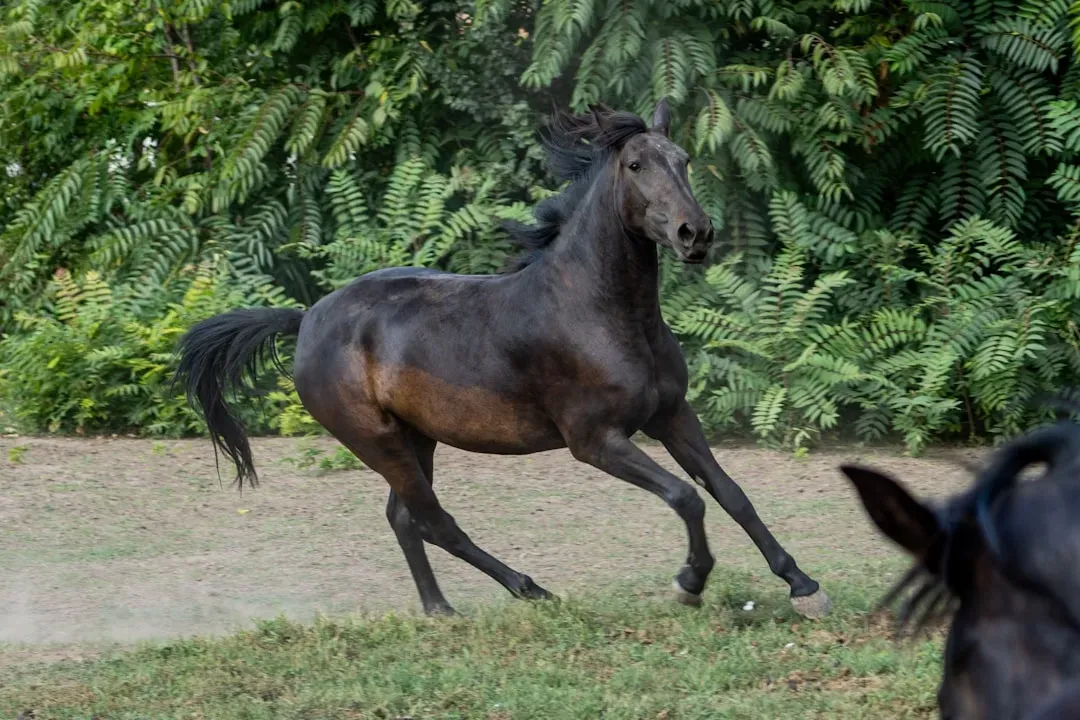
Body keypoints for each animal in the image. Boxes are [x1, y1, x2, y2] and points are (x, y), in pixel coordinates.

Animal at [173, 99, 830, 619]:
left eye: (685, 159)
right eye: (636, 165)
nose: (696, 234)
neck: (600, 312)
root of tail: (306, 318)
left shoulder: (672, 416)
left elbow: (731, 493)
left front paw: (804, 586)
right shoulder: (594, 440)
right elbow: (686, 497)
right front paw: (689, 583)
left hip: (416, 438)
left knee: (404, 518)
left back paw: (440, 609)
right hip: (376, 441)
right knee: (434, 521)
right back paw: (529, 590)